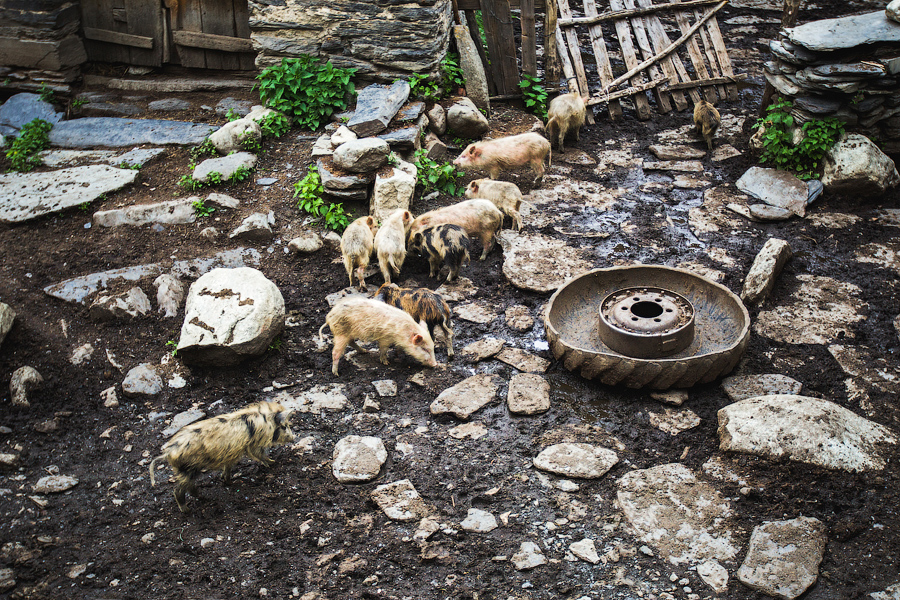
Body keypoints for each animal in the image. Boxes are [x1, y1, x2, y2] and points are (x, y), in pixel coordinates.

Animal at [149, 404, 294, 510]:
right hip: (188, 469)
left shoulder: (230, 455)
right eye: (284, 426)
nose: (293, 437)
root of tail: (167, 452)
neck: (265, 422)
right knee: (178, 490)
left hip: (186, 470)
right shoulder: (253, 444)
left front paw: (228, 481)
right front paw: (273, 462)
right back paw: (187, 510)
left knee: (188, 487)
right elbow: (260, 454)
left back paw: (202, 498)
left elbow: (228, 468)